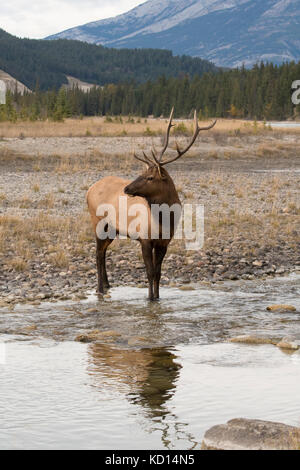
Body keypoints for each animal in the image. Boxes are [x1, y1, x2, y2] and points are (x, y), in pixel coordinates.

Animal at [86, 109, 216, 302]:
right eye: (143, 172)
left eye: (150, 177)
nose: (126, 188)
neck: (163, 220)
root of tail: (89, 190)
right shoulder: (145, 239)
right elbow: (149, 271)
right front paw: (149, 298)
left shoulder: (164, 242)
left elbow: (158, 273)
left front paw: (157, 297)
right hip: (98, 221)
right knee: (97, 253)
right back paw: (100, 289)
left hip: (113, 229)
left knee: (103, 252)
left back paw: (107, 285)